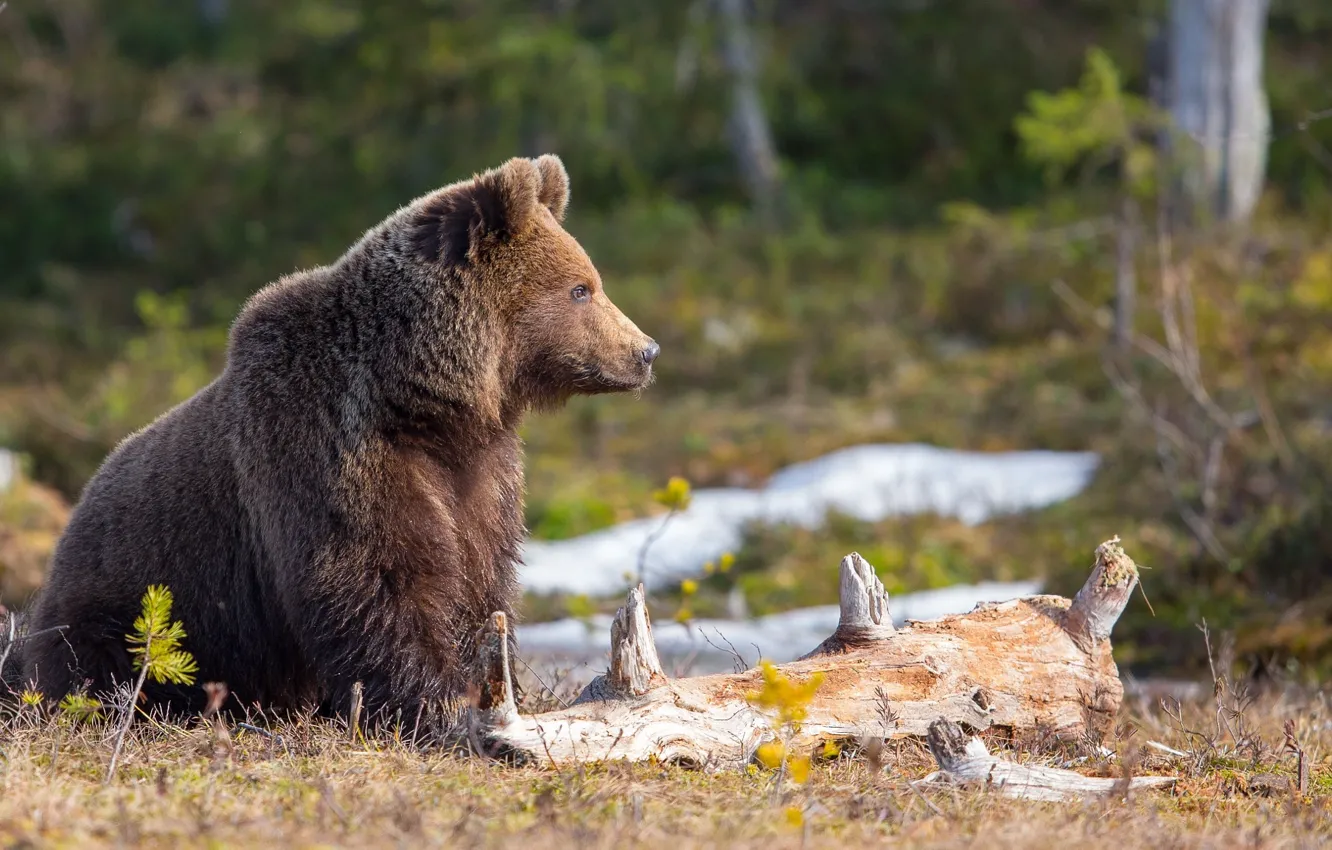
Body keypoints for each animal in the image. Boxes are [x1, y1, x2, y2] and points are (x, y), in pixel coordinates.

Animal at [12, 155, 658, 723]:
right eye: (582, 288)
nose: (646, 350)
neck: (422, 400)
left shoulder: (480, 470)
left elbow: (484, 576)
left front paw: (495, 688)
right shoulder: (327, 451)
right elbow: (375, 577)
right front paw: (433, 701)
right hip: (126, 609)